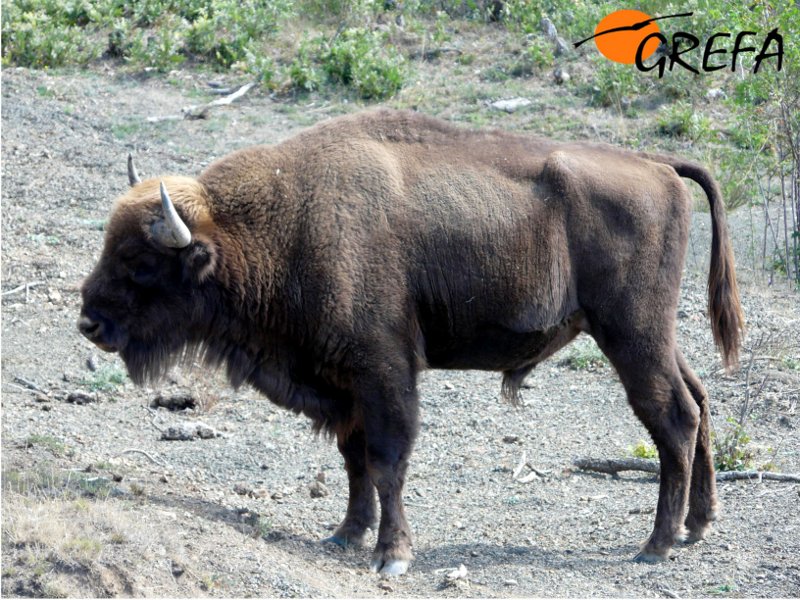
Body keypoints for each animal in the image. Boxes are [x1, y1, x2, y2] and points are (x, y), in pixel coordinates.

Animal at [78, 109, 740, 576]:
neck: (278, 224)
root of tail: (657, 165)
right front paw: (346, 534)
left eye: (141, 263)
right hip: (651, 336)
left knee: (673, 418)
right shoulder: (343, 384)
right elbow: (354, 459)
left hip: (631, 335)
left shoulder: (384, 371)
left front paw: (392, 554)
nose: (89, 323)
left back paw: (656, 545)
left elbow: (386, 459)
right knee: (700, 399)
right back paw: (698, 525)